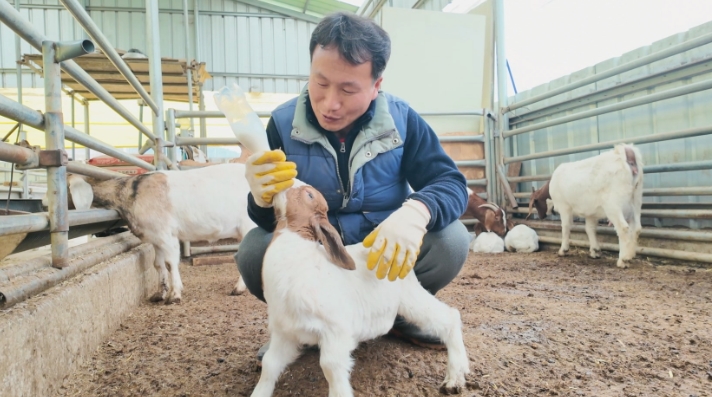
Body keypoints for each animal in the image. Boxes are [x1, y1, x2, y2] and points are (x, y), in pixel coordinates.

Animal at [65, 162, 256, 302]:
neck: (131, 193)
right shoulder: (155, 237)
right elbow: (158, 264)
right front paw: (160, 293)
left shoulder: (166, 234)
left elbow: (171, 263)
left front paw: (175, 294)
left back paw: (239, 288)